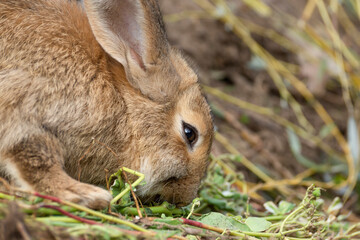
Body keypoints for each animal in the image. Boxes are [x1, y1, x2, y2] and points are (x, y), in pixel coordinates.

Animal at [0, 0, 214, 210]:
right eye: (190, 133)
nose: (185, 197)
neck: (123, 105)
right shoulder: (26, 101)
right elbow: (35, 155)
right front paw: (83, 194)